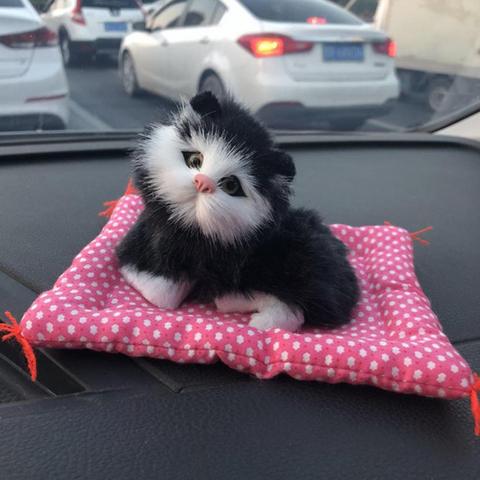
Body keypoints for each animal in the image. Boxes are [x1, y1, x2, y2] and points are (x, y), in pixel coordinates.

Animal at [116, 92, 358, 332]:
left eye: (231, 185)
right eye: (195, 160)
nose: (202, 182)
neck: (186, 227)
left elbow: (156, 292)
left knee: (292, 311)